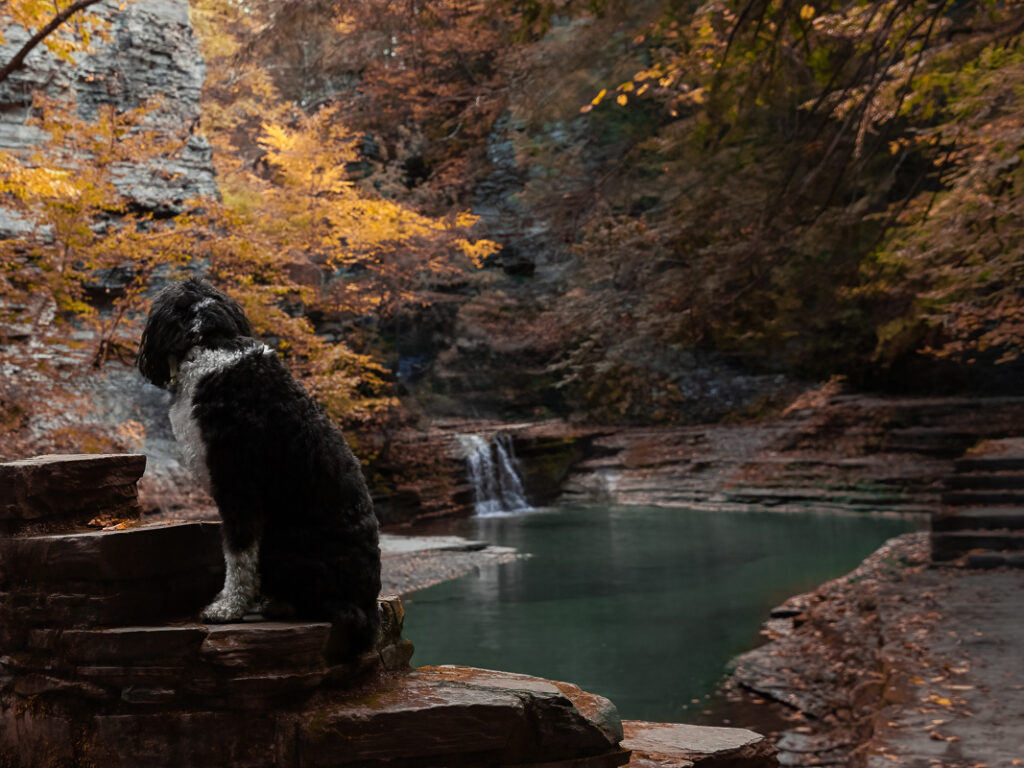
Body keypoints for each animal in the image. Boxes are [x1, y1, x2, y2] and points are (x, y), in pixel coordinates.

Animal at [140, 276, 385, 655]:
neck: (210, 342)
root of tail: (367, 606)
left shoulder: (238, 485)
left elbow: (239, 556)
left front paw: (228, 607)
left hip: (284, 541)